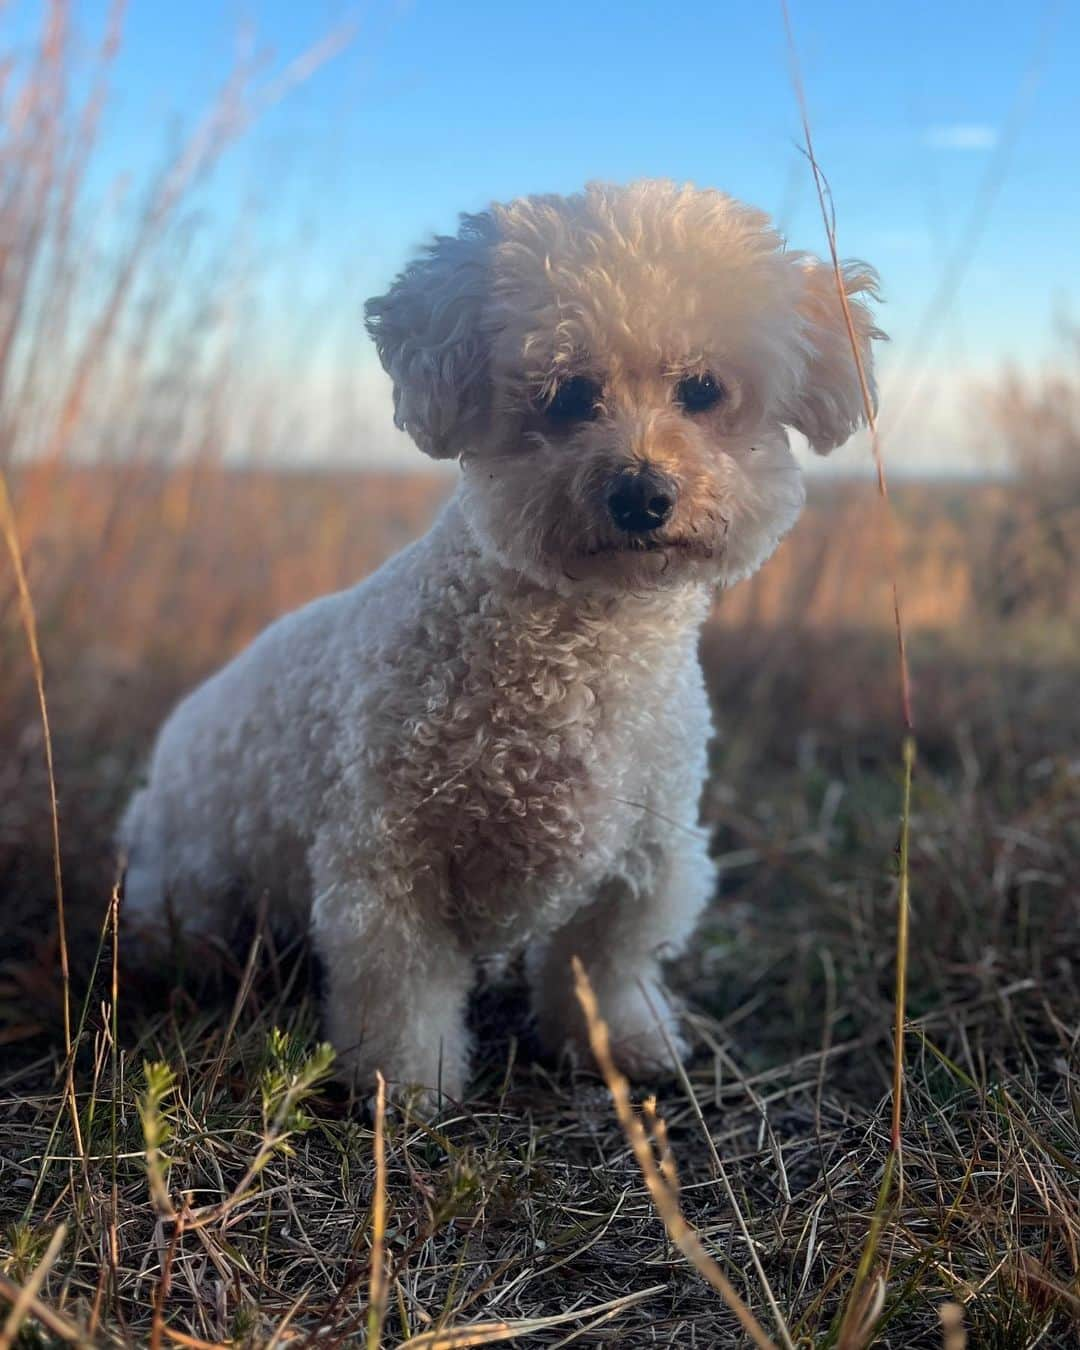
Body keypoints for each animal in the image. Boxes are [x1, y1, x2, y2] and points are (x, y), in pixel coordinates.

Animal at [118, 179, 880, 1101]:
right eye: (568, 393)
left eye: (701, 390)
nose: (642, 494)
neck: (578, 650)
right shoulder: (387, 866)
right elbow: (401, 992)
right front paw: (410, 1088)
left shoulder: (646, 856)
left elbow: (608, 969)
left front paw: (623, 1044)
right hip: (186, 884)